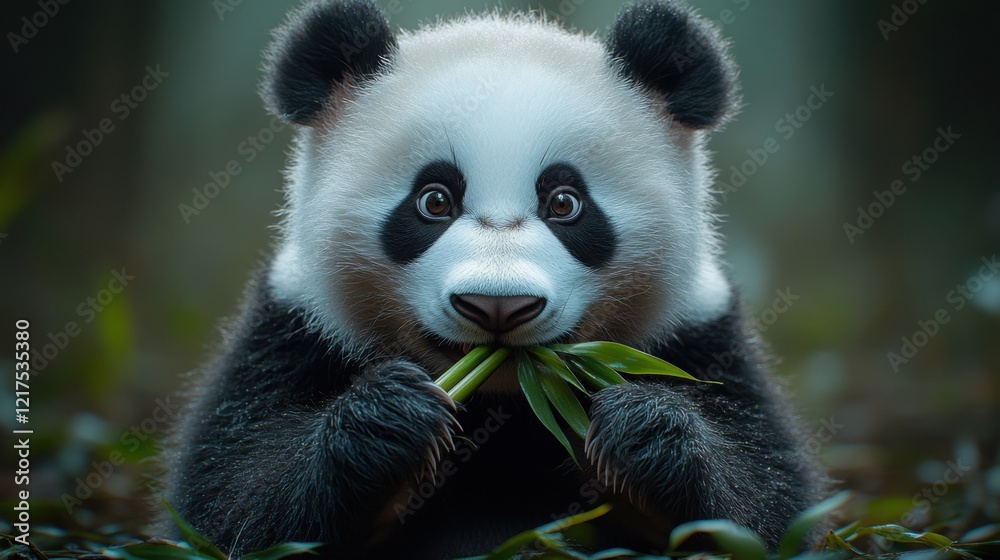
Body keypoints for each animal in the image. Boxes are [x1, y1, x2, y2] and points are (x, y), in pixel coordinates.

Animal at [163, 0, 829, 557]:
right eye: (434, 200)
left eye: (565, 202)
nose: (497, 305)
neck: (509, 399)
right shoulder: (294, 326)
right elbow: (231, 500)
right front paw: (388, 417)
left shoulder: (697, 332)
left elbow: (766, 502)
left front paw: (642, 431)